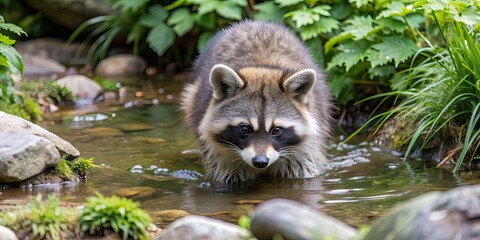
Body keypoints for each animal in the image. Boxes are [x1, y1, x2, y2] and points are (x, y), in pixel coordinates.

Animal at [182, 20, 332, 183]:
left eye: (276, 130)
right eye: (244, 129)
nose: (260, 161)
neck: (262, 67)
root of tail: (254, 22)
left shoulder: (304, 152)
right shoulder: (222, 157)